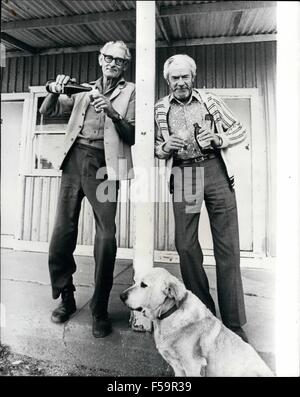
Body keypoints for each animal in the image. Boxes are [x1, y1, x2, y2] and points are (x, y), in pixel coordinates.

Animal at [119, 268, 274, 376]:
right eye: (135, 281)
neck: (170, 313)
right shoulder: (178, 368)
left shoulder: (192, 366)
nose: (121, 296)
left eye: (144, 285)